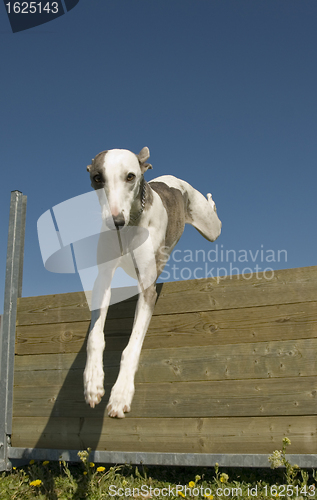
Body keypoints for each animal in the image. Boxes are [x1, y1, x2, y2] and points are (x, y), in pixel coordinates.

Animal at [85, 146, 221, 416]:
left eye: (130, 176)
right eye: (97, 177)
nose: (115, 222)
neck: (130, 226)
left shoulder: (147, 289)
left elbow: (132, 346)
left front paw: (121, 393)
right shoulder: (102, 280)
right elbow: (95, 336)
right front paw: (93, 381)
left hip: (211, 229)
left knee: (215, 218)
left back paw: (211, 201)